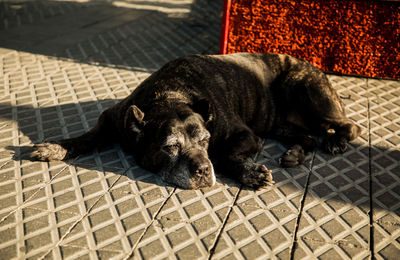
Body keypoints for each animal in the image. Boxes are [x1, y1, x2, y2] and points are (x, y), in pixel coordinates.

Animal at [29, 53, 362, 189]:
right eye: (170, 147)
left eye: (205, 140)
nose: (202, 170)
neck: (170, 94)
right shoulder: (113, 118)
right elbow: (86, 136)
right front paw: (55, 147)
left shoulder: (244, 136)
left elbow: (225, 154)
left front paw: (249, 173)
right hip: (282, 122)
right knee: (308, 136)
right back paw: (295, 152)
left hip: (303, 88)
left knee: (349, 125)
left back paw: (337, 140)